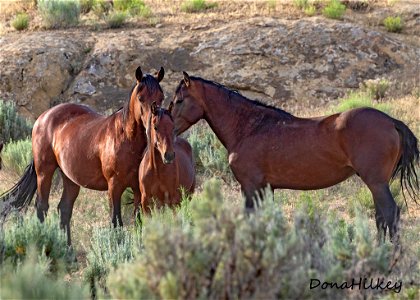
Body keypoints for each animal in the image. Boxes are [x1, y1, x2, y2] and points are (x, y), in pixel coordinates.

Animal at [0, 67, 164, 245]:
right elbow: (116, 221)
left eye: (161, 97)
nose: (152, 127)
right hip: (44, 171)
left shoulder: (137, 188)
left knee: (64, 209)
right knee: (42, 207)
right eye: (141, 98)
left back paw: (67, 248)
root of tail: (43, 117)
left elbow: (138, 221)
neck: (125, 138)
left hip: (70, 178)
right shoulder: (114, 186)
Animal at [172, 72, 418, 241]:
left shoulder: (250, 186)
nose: (168, 128)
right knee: (381, 218)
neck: (250, 127)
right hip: (377, 184)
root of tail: (390, 121)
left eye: (179, 100)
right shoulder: (265, 188)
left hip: (376, 182)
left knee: (390, 214)